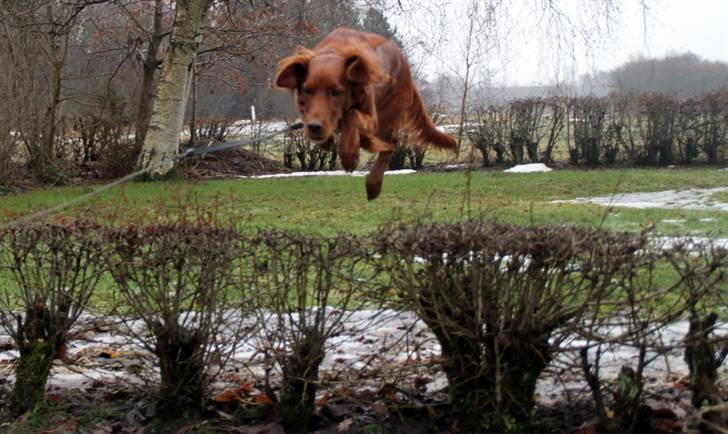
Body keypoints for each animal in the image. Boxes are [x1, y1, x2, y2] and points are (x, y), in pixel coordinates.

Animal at [272, 28, 456, 201]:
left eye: (336, 92)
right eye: (307, 90)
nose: (314, 127)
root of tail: (408, 76)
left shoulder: (371, 117)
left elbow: (351, 114)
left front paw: (350, 156)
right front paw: (329, 141)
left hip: (387, 116)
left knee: (391, 144)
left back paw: (373, 183)